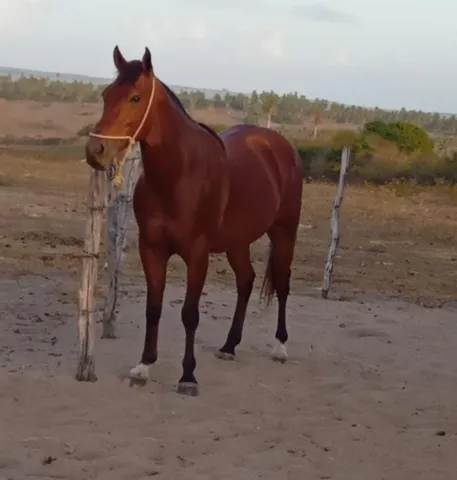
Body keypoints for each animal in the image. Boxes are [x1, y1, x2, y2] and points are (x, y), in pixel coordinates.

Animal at [85, 46, 302, 398]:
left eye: (135, 98)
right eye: (106, 94)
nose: (96, 150)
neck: (180, 175)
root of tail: (280, 145)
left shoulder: (197, 254)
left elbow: (189, 313)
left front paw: (188, 376)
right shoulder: (152, 249)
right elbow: (154, 308)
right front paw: (143, 366)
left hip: (284, 232)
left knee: (282, 283)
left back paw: (280, 347)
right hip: (238, 241)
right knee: (246, 280)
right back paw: (229, 345)